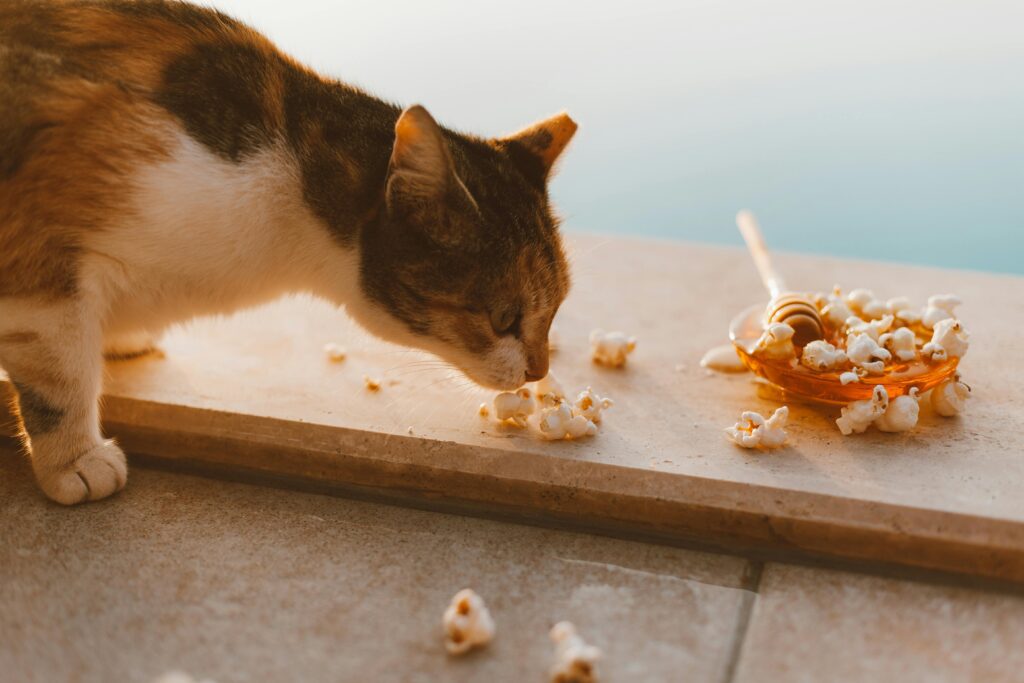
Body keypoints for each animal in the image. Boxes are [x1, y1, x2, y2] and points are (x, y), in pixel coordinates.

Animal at [0, 0, 577, 501]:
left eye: (556, 310)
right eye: (503, 319)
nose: (538, 372)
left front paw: (118, 336)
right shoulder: (39, 250)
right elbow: (62, 374)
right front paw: (75, 461)